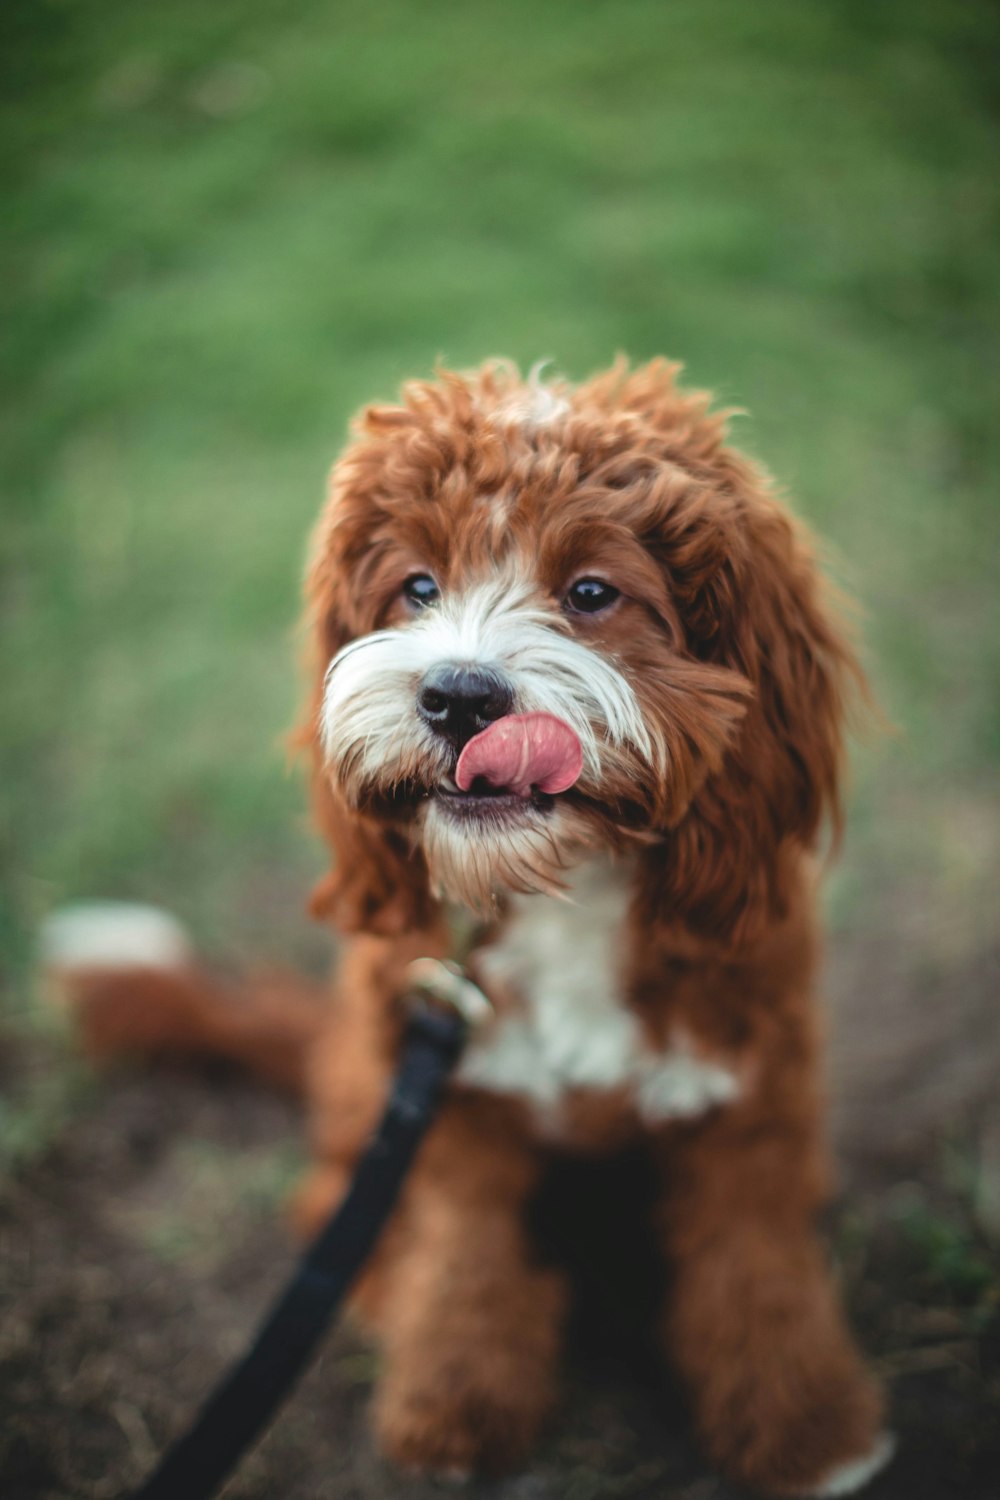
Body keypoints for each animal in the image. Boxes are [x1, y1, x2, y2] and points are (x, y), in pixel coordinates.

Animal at [43, 357, 893, 1494]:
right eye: (416, 587)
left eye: (591, 592)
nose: (456, 695)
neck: (562, 892)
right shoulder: (447, 1107)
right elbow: (465, 1261)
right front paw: (454, 1403)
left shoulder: (745, 1092)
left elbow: (755, 1266)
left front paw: (809, 1428)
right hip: (365, 1086)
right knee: (332, 1210)